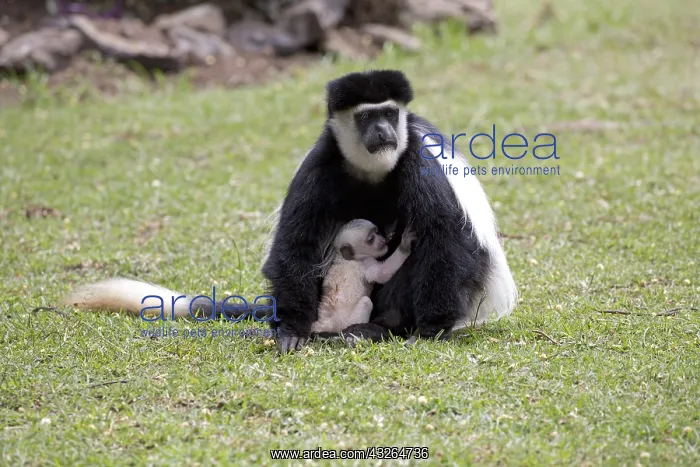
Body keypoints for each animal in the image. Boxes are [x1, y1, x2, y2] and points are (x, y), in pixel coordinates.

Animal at [262, 69, 518, 353]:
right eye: (366, 117)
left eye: (389, 114)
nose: (383, 131)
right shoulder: (319, 164)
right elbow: (298, 243)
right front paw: (292, 330)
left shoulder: (420, 160)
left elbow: (444, 239)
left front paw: (431, 330)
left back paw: (377, 328)